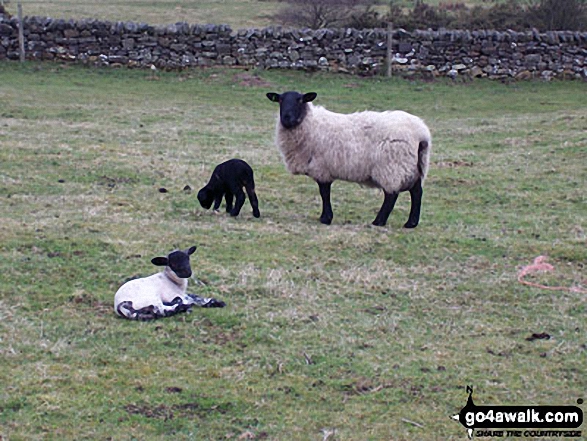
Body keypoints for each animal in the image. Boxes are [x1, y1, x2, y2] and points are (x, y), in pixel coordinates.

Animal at [266, 89, 432, 227]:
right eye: (280, 100)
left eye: (300, 100)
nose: (286, 118)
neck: (309, 123)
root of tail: (421, 133)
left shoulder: (322, 168)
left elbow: (324, 193)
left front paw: (326, 218)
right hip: (413, 165)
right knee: (417, 192)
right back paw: (411, 223)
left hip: (392, 165)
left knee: (391, 195)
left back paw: (378, 222)